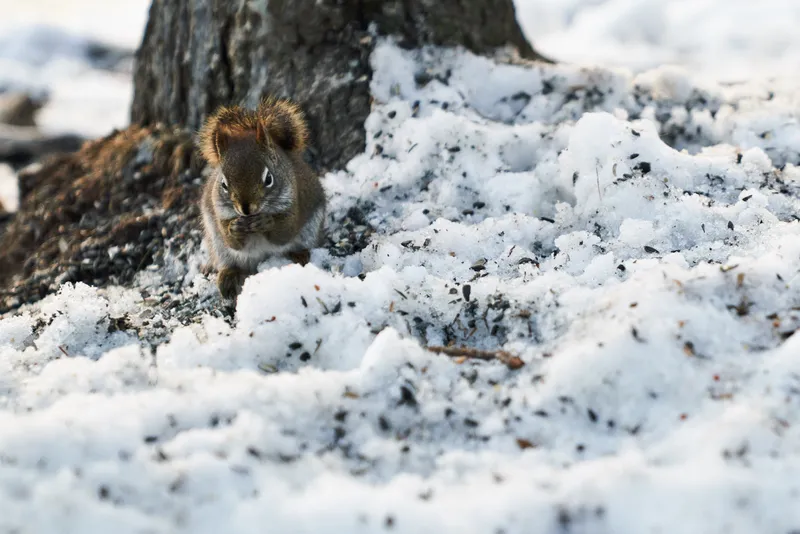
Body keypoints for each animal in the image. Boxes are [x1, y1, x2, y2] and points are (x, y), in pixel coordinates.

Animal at [198, 99, 326, 302]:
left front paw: (266, 222)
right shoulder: (219, 216)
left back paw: (299, 254)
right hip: (217, 244)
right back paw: (229, 276)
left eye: (269, 179)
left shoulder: (294, 206)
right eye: (224, 184)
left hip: (310, 230)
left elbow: (285, 233)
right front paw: (234, 227)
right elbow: (232, 241)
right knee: (228, 260)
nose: (246, 208)